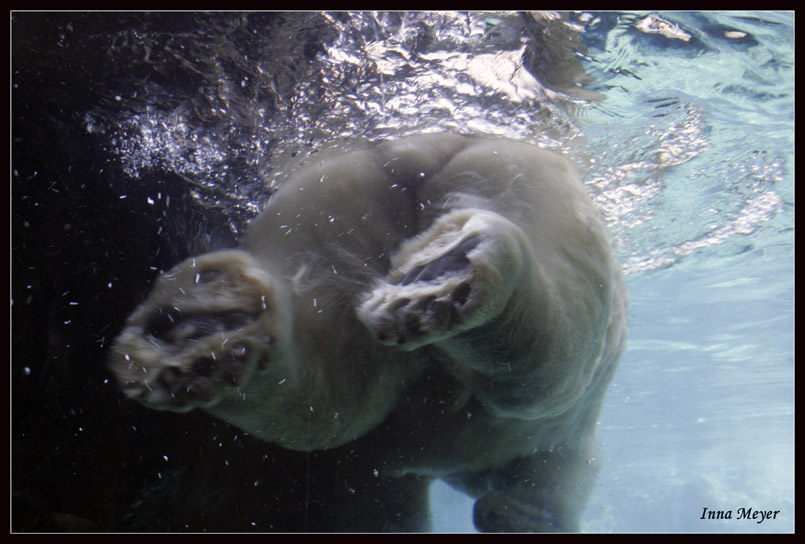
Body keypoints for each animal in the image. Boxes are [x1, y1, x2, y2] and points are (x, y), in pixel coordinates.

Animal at [108, 133, 628, 532]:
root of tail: (417, 150)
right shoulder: (560, 447)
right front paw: (514, 514)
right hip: (540, 192)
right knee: (544, 374)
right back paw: (457, 275)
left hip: (330, 206)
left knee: (328, 389)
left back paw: (200, 336)